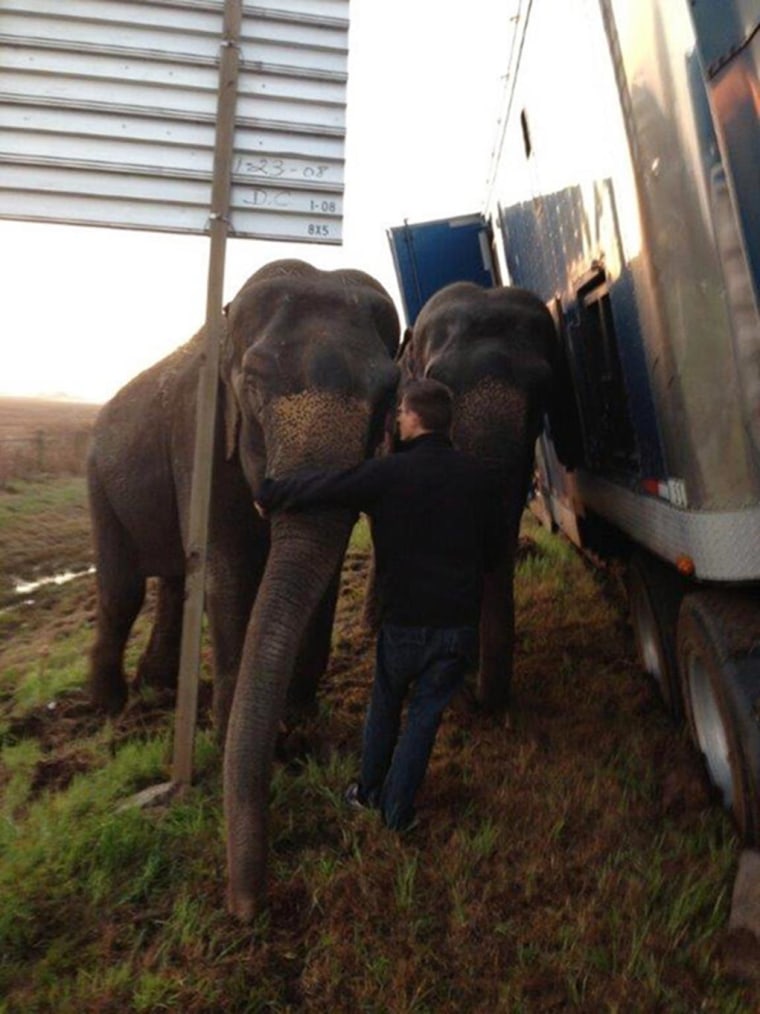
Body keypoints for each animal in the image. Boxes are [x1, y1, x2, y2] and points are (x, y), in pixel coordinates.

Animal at [84, 259, 399, 920]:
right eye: (252, 386)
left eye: (388, 395)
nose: (246, 906)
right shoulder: (197, 432)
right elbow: (227, 569)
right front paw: (232, 735)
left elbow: (320, 567)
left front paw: (298, 729)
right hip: (98, 480)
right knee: (124, 589)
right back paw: (111, 707)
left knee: (174, 577)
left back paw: (155, 689)